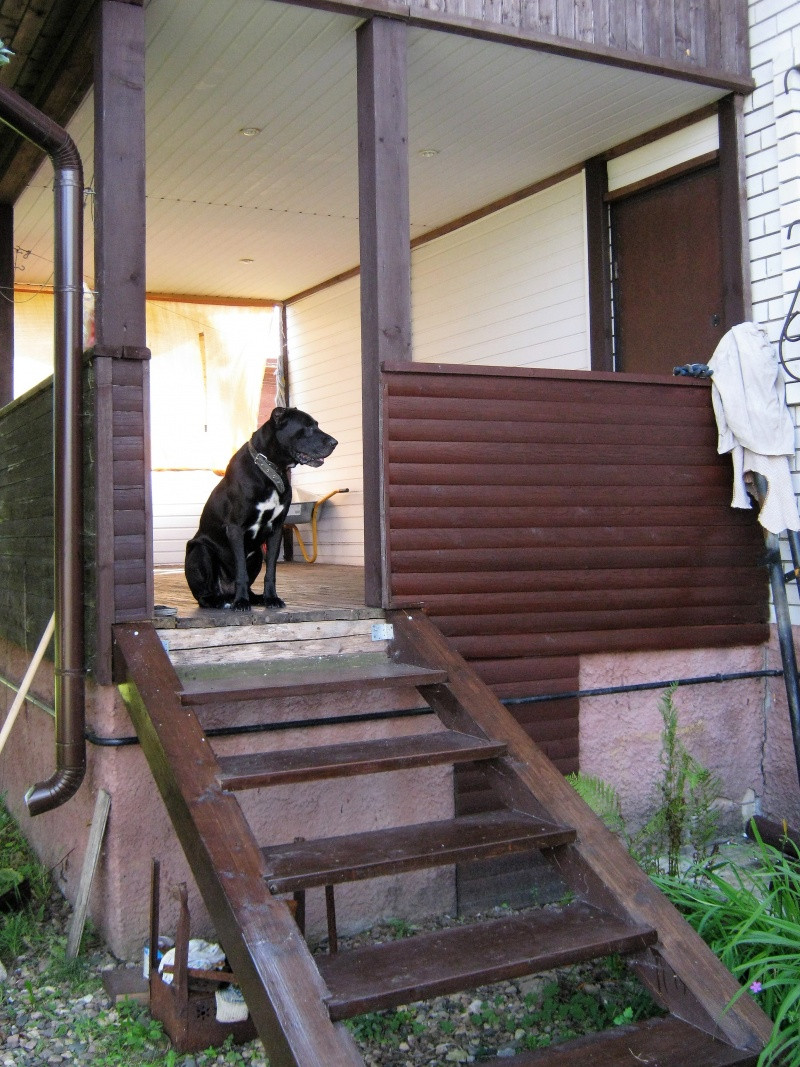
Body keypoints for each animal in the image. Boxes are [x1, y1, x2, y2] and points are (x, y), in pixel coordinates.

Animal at [186, 405, 337, 610]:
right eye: (307, 427)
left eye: (316, 425)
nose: (335, 442)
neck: (270, 469)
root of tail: (226, 591)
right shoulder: (236, 528)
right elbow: (241, 571)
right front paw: (241, 602)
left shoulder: (276, 529)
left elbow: (271, 571)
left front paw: (271, 598)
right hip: (199, 550)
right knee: (204, 595)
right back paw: (222, 600)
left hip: (257, 553)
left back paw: (254, 597)